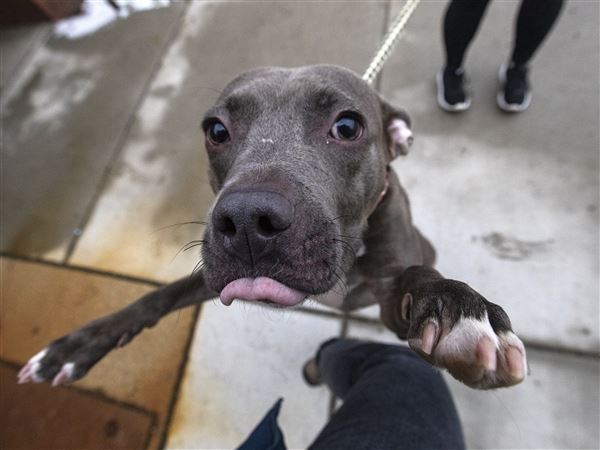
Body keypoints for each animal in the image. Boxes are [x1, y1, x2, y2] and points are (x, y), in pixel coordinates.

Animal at [17, 64, 524, 390]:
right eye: (216, 130)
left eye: (347, 126)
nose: (245, 220)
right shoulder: (210, 275)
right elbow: (158, 296)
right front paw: (81, 344)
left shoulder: (388, 295)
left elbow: (417, 280)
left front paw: (457, 307)